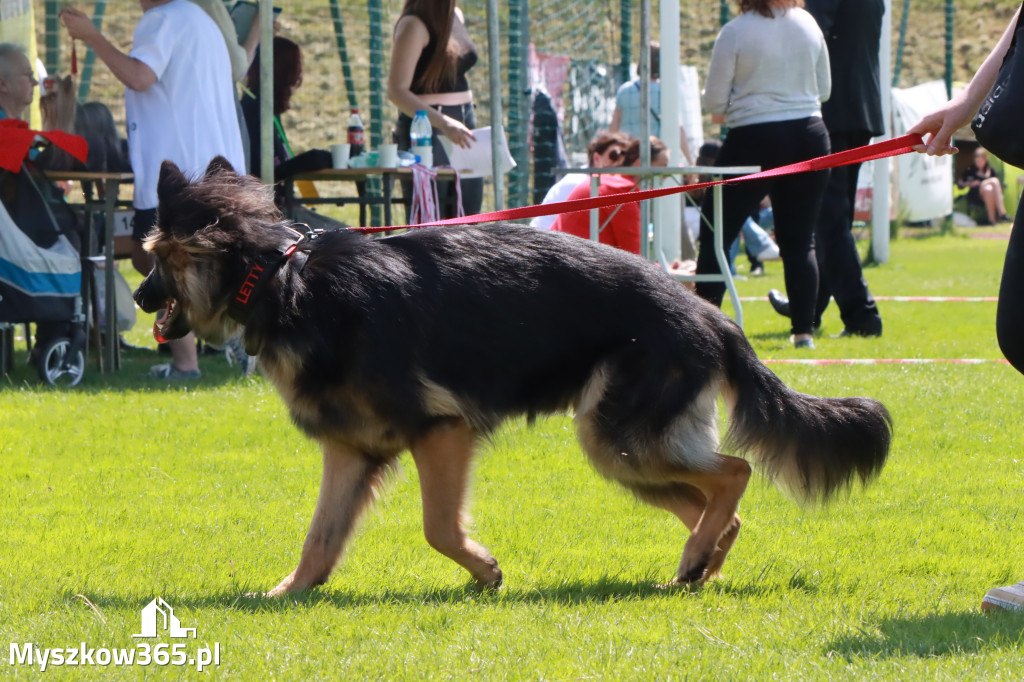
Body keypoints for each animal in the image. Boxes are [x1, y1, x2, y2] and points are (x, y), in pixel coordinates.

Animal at [134, 159, 888, 593]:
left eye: (155, 259)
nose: (139, 298)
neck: (281, 279)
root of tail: (710, 316)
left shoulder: (441, 431)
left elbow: (438, 528)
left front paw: (486, 571)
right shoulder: (350, 451)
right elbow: (320, 537)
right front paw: (289, 595)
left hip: (619, 438)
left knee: (734, 474)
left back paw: (697, 556)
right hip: (627, 453)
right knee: (713, 504)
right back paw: (699, 562)